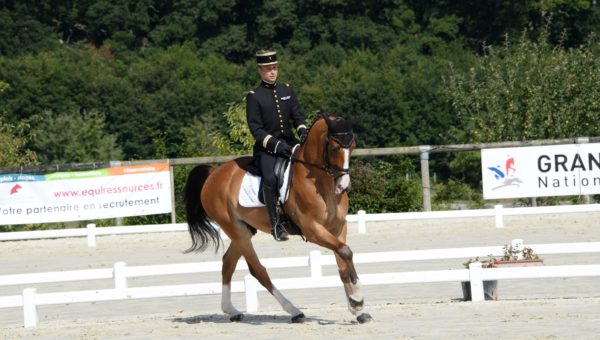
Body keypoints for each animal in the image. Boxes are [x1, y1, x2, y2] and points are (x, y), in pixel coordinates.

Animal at [183, 112, 370, 324]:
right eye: (334, 148)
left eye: (352, 146)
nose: (343, 186)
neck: (321, 183)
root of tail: (214, 173)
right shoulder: (313, 230)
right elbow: (346, 252)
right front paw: (357, 300)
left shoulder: (337, 227)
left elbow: (343, 261)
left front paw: (357, 309)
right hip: (236, 230)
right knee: (258, 271)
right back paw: (294, 311)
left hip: (244, 230)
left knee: (228, 263)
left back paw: (231, 311)